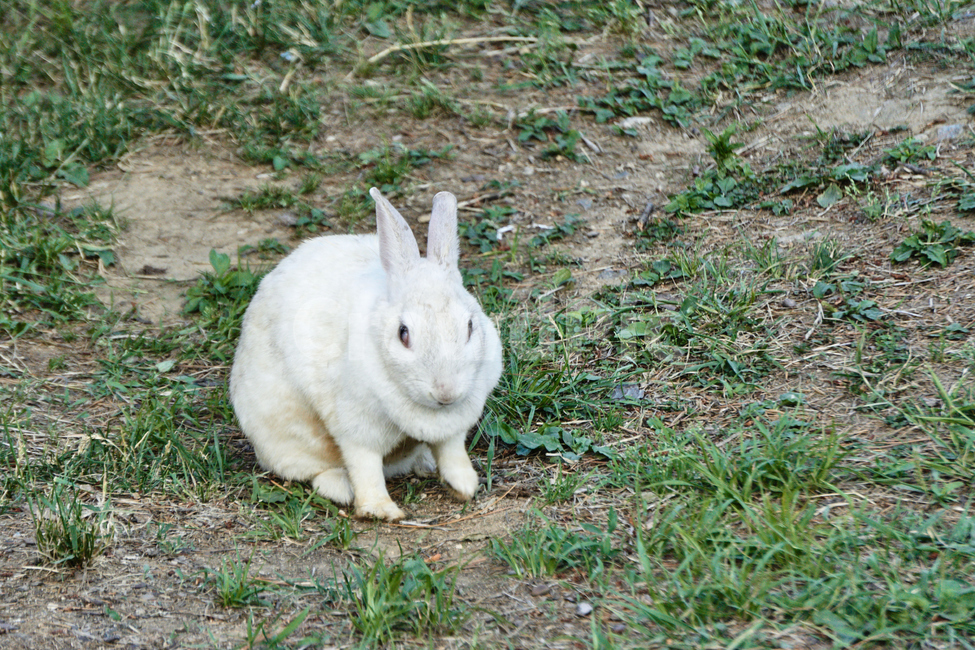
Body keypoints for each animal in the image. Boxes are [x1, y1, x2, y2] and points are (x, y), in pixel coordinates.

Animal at [229, 187, 503, 521]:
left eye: (469, 327)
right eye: (403, 333)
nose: (446, 392)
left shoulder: (452, 430)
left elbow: (452, 452)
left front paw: (464, 486)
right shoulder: (356, 427)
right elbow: (365, 465)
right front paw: (380, 510)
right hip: (286, 436)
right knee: (312, 469)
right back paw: (340, 487)